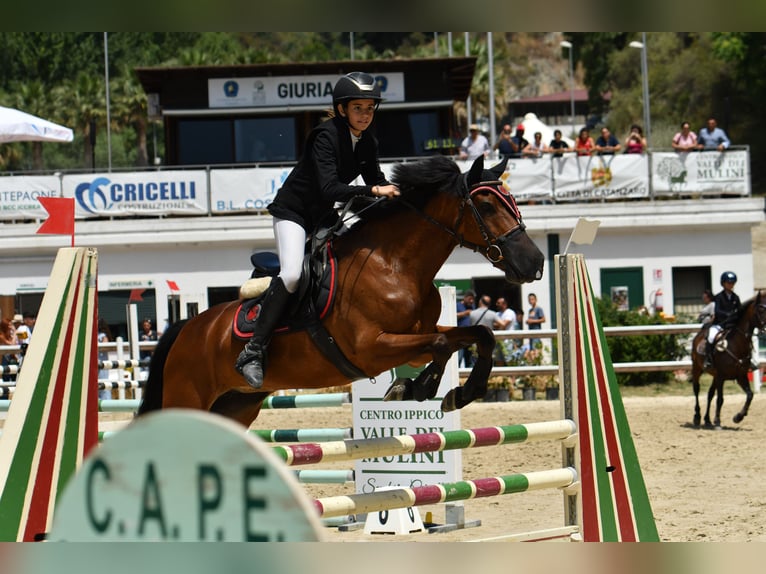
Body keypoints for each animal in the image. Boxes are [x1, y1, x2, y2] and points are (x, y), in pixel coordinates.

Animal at [137, 155, 545, 428]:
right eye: (487, 205)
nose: (535, 262)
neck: (394, 265)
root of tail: (186, 329)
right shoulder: (371, 348)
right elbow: (444, 345)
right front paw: (414, 388)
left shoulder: (417, 337)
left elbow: (479, 334)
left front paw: (458, 393)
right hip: (187, 397)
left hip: (237, 404)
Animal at [690, 290, 766, 428]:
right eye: (761, 309)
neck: (736, 344)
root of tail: (699, 334)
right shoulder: (721, 376)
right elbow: (720, 399)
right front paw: (718, 421)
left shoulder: (741, 376)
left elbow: (750, 395)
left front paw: (738, 417)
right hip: (697, 368)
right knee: (696, 389)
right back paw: (697, 417)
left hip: (714, 376)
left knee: (710, 394)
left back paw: (707, 420)